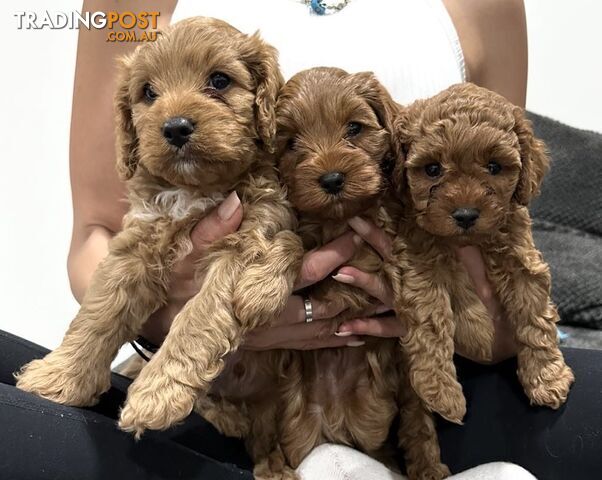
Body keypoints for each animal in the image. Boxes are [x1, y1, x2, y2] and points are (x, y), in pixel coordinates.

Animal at [16, 15, 302, 436]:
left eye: (219, 80)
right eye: (148, 92)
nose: (175, 127)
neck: (194, 188)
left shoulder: (245, 241)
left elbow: (198, 319)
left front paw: (158, 393)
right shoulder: (136, 243)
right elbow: (100, 311)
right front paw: (60, 377)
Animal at [264, 67, 448, 480]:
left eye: (354, 128)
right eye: (291, 143)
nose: (332, 179)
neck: (340, 219)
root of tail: (338, 421)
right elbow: (290, 240)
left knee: (416, 416)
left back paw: (428, 465)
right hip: (297, 428)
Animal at [390, 83, 572, 424]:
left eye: (494, 167)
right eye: (432, 169)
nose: (465, 215)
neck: (468, 241)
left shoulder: (521, 256)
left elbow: (535, 316)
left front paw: (547, 377)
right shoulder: (419, 259)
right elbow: (432, 319)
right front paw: (442, 391)